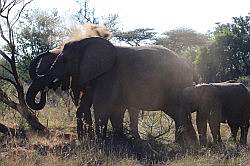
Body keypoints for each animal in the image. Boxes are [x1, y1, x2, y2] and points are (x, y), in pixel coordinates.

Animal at [25, 37, 197, 145]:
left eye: (65, 61)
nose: (47, 88)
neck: (87, 42)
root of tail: (189, 66)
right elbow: (109, 108)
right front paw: (118, 141)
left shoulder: (109, 75)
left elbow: (102, 105)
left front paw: (101, 142)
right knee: (177, 113)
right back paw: (186, 143)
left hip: (177, 84)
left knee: (180, 112)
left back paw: (187, 144)